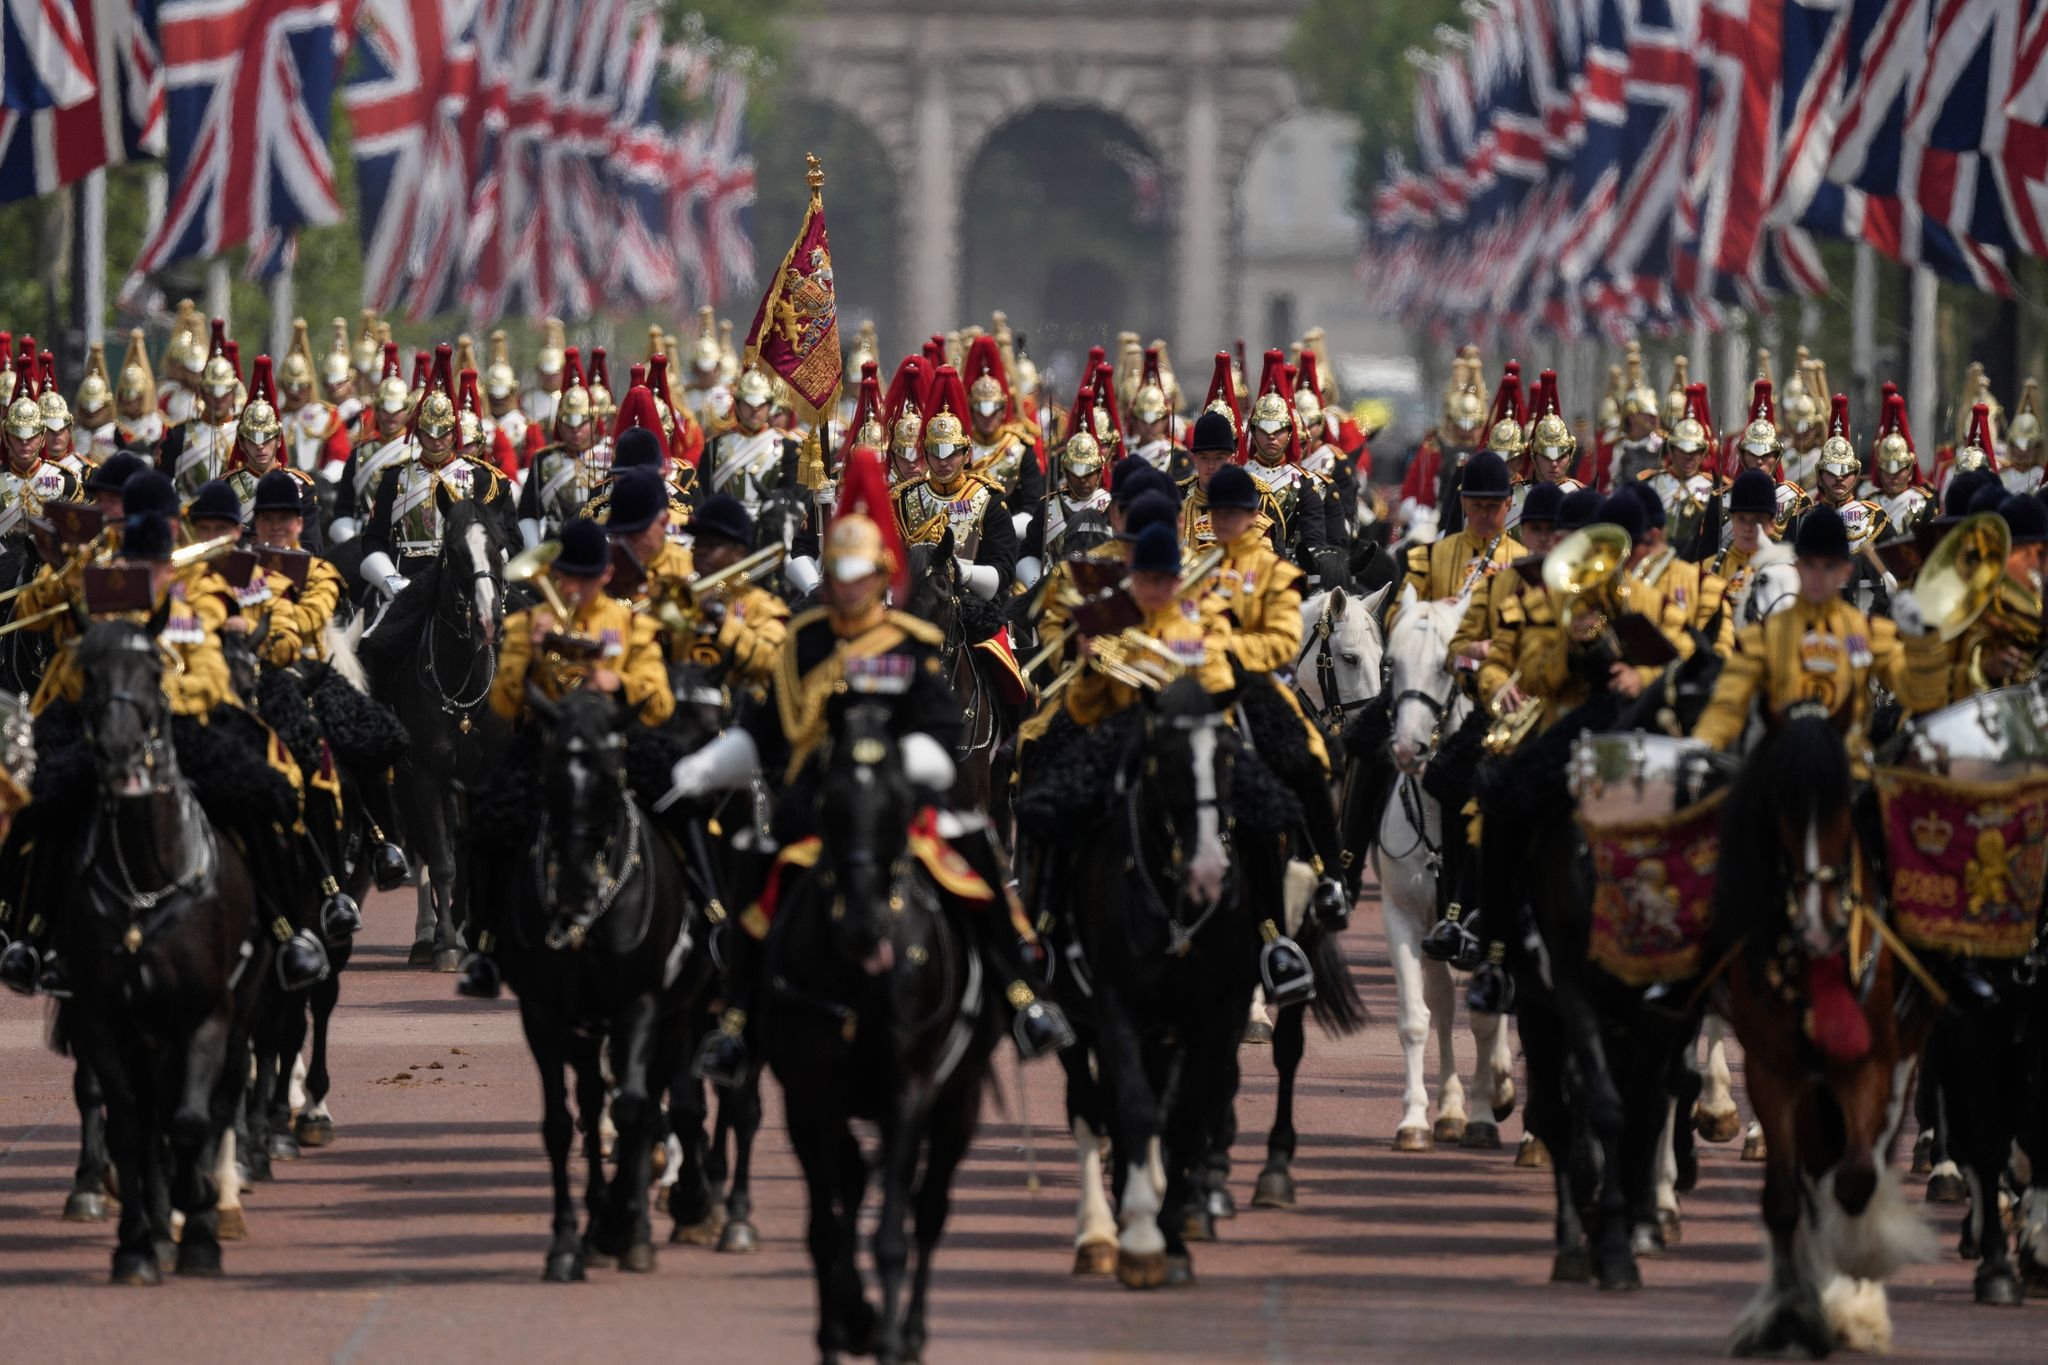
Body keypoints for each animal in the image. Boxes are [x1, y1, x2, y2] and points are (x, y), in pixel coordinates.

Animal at [54, 618, 266, 1285]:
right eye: (87, 673)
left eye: (155, 673)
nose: (119, 752)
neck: (144, 885)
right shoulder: (99, 1013)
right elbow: (127, 1120)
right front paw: (136, 1242)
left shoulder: (208, 1012)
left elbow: (194, 1117)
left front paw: (197, 1229)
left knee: (221, 1096)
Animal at [501, 695, 704, 1285]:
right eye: (548, 777)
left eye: (613, 778)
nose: (573, 890)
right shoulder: (542, 1014)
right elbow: (559, 1124)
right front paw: (568, 1243)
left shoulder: (640, 1006)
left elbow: (636, 1109)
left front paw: (627, 1230)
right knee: (593, 1105)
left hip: (674, 1017)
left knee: (652, 1101)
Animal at [765, 703, 1003, 1365]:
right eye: (826, 801)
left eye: (901, 802)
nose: (864, 927)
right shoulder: (809, 1097)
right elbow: (826, 1225)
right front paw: (842, 1327)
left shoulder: (909, 1092)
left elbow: (894, 1229)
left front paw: (888, 1334)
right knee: (857, 1182)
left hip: (957, 1103)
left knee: (929, 1208)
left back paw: (909, 1330)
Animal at [1376, 589, 1523, 1154]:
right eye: (1390, 662)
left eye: (1448, 667)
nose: (1406, 749)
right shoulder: (1402, 916)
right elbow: (1417, 1018)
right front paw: (1416, 1118)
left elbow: (1485, 1020)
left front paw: (1486, 1111)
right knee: (1441, 1002)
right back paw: (1452, 1108)